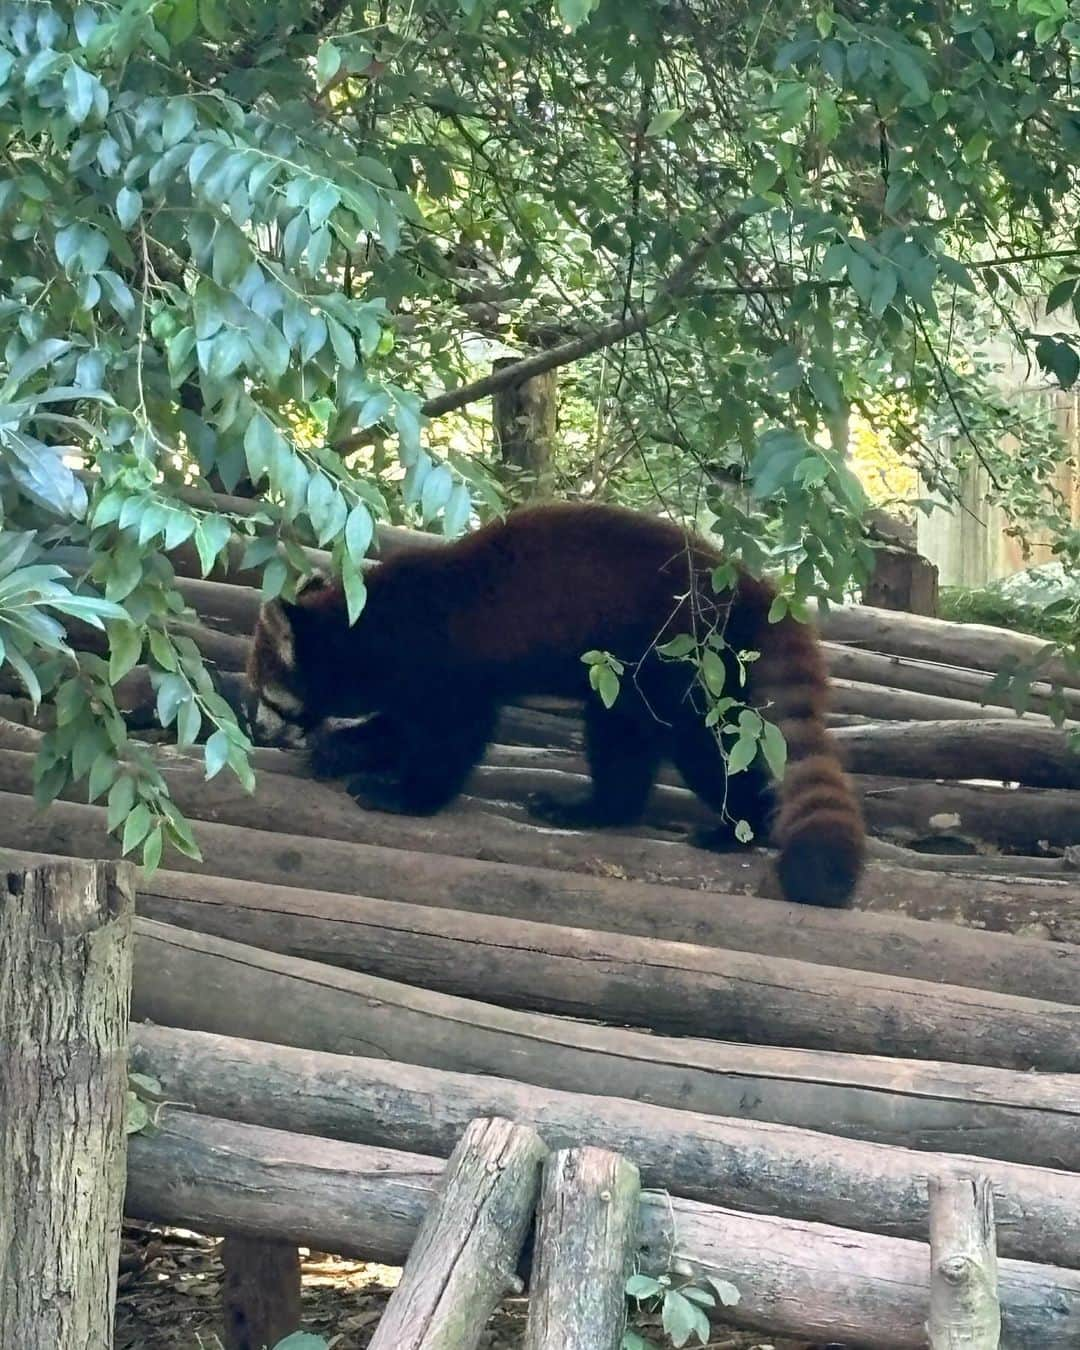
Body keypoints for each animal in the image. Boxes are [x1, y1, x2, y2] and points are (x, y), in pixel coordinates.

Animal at [248, 499, 864, 907]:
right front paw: (341, 750)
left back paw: (738, 826)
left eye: (262, 695)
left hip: (681, 659)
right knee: (624, 744)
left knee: (697, 748)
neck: (362, 627)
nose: (254, 730)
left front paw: (401, 794)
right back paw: (592, 810)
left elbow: (448, 741)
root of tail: (753, 588)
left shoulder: (444, 664)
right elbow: (397, 727)